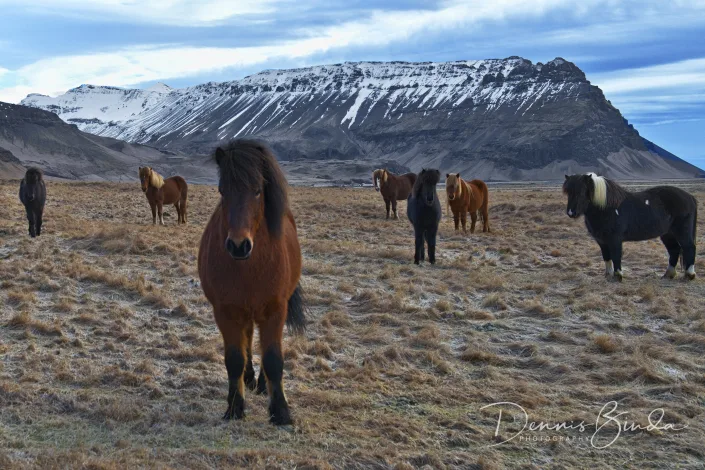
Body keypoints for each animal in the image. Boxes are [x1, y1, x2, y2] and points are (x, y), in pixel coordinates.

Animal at [198, 139, 305, 425]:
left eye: (257, 191)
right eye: (222, 191)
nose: (238, 245)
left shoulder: (275, 310)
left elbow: (273, 359)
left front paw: (281, 412)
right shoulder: (225, 311)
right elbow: (234, 358)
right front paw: (235, 407)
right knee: (246, 339)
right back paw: (248, 378)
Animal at [563, 173, 698, 281]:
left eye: (582, 192)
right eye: (568, 192)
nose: (571, 212)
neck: (607, 207)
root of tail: (690, 197)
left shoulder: (615, 240)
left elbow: (616, 256)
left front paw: (618, 276)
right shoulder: (602, 241)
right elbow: (606, 257)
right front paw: (608, 275)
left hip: (682, 231)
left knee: (689, 248)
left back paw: (689, 275)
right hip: (667, 234)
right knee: (674, 250)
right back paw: (668, 275)